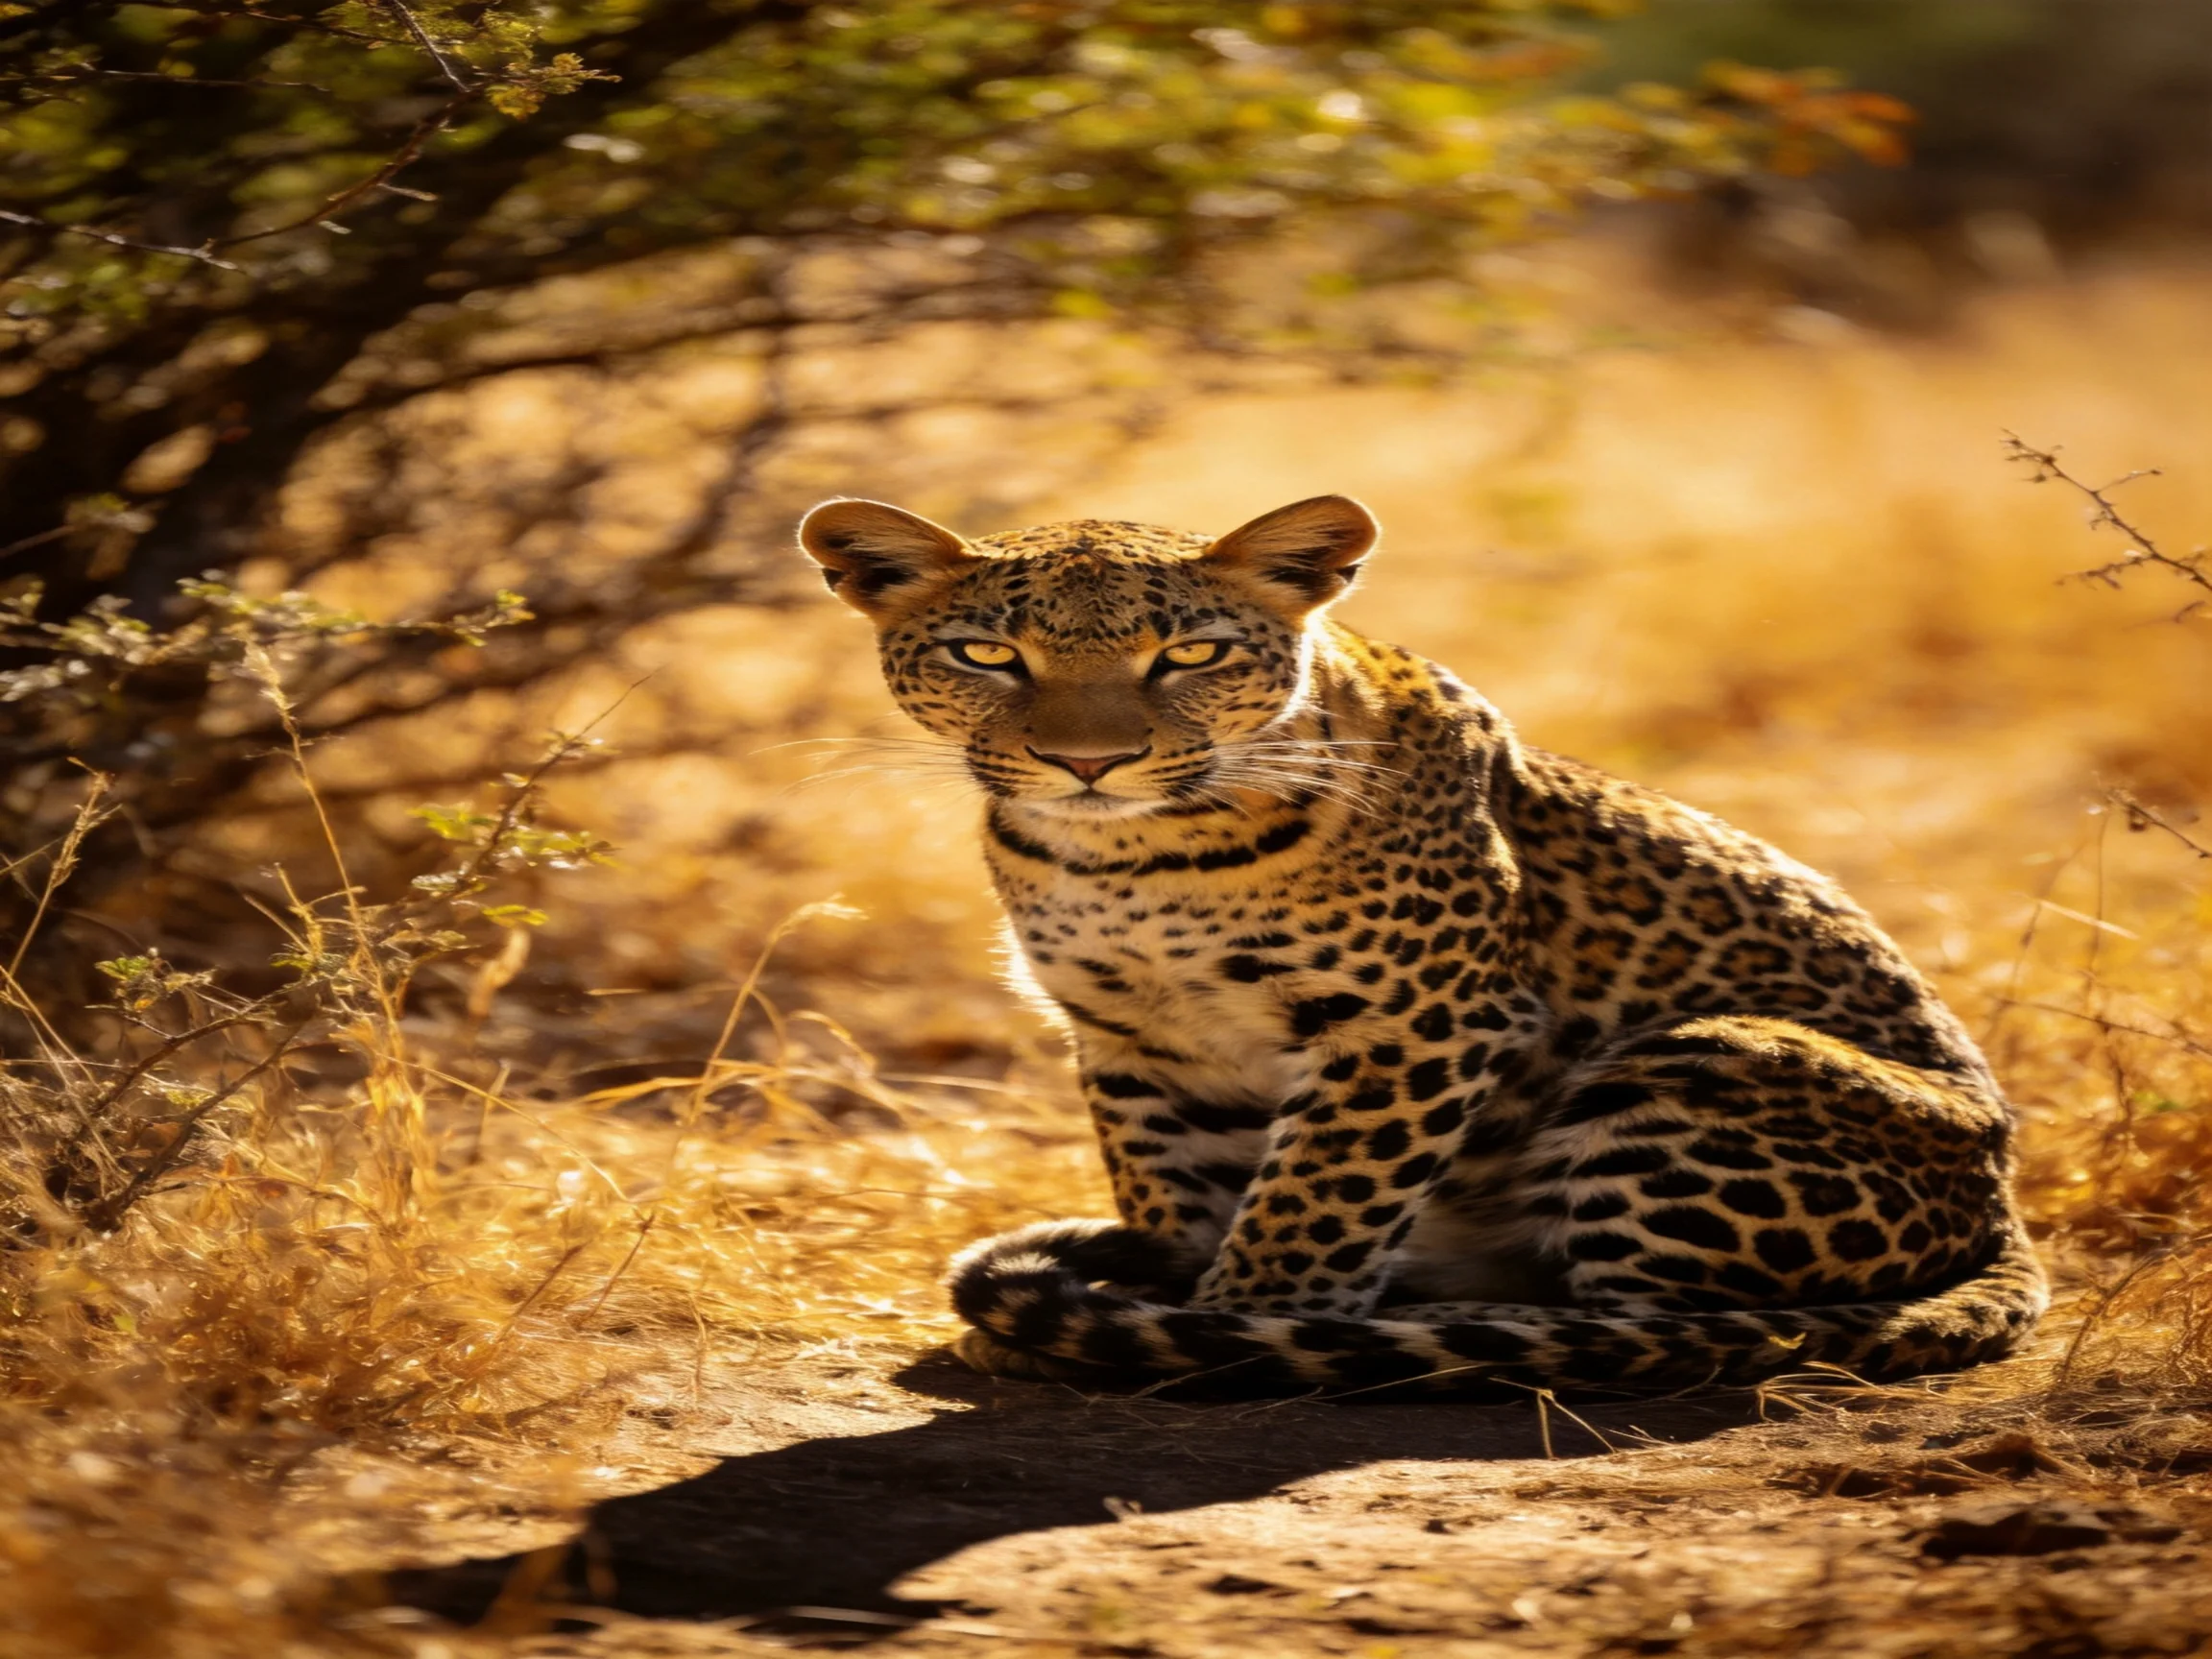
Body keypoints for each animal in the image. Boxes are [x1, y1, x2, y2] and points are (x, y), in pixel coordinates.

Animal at [797, 491, 2048, 1396]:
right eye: (985, 656)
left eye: (1190, 656)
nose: (1088, 764)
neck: (1132, 861)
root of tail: (2008, 1213)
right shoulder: (1133, 1036)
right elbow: (1169, 1182)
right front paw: (1132, 1307)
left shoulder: (1414, 1023)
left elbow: (1314, 1200)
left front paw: (1238, 1326)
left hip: (1703, 1056)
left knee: (1680, 1322)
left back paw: (1449, 1323)